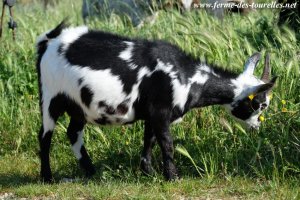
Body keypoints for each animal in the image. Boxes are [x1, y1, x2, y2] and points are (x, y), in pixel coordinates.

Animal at [37, 21, 276, 182]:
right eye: (259, 104)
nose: (258, 126)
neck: (188, 77)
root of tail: (49, 40)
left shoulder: (152, 113)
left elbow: (149, 140)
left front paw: (149, 173)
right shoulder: (161, 112)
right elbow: (167, 143)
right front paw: (173, 176)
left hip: (79, 105)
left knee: (73, 132)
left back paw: (91, 172)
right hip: (50, 97)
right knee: (45, 136)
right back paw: (47, 177)